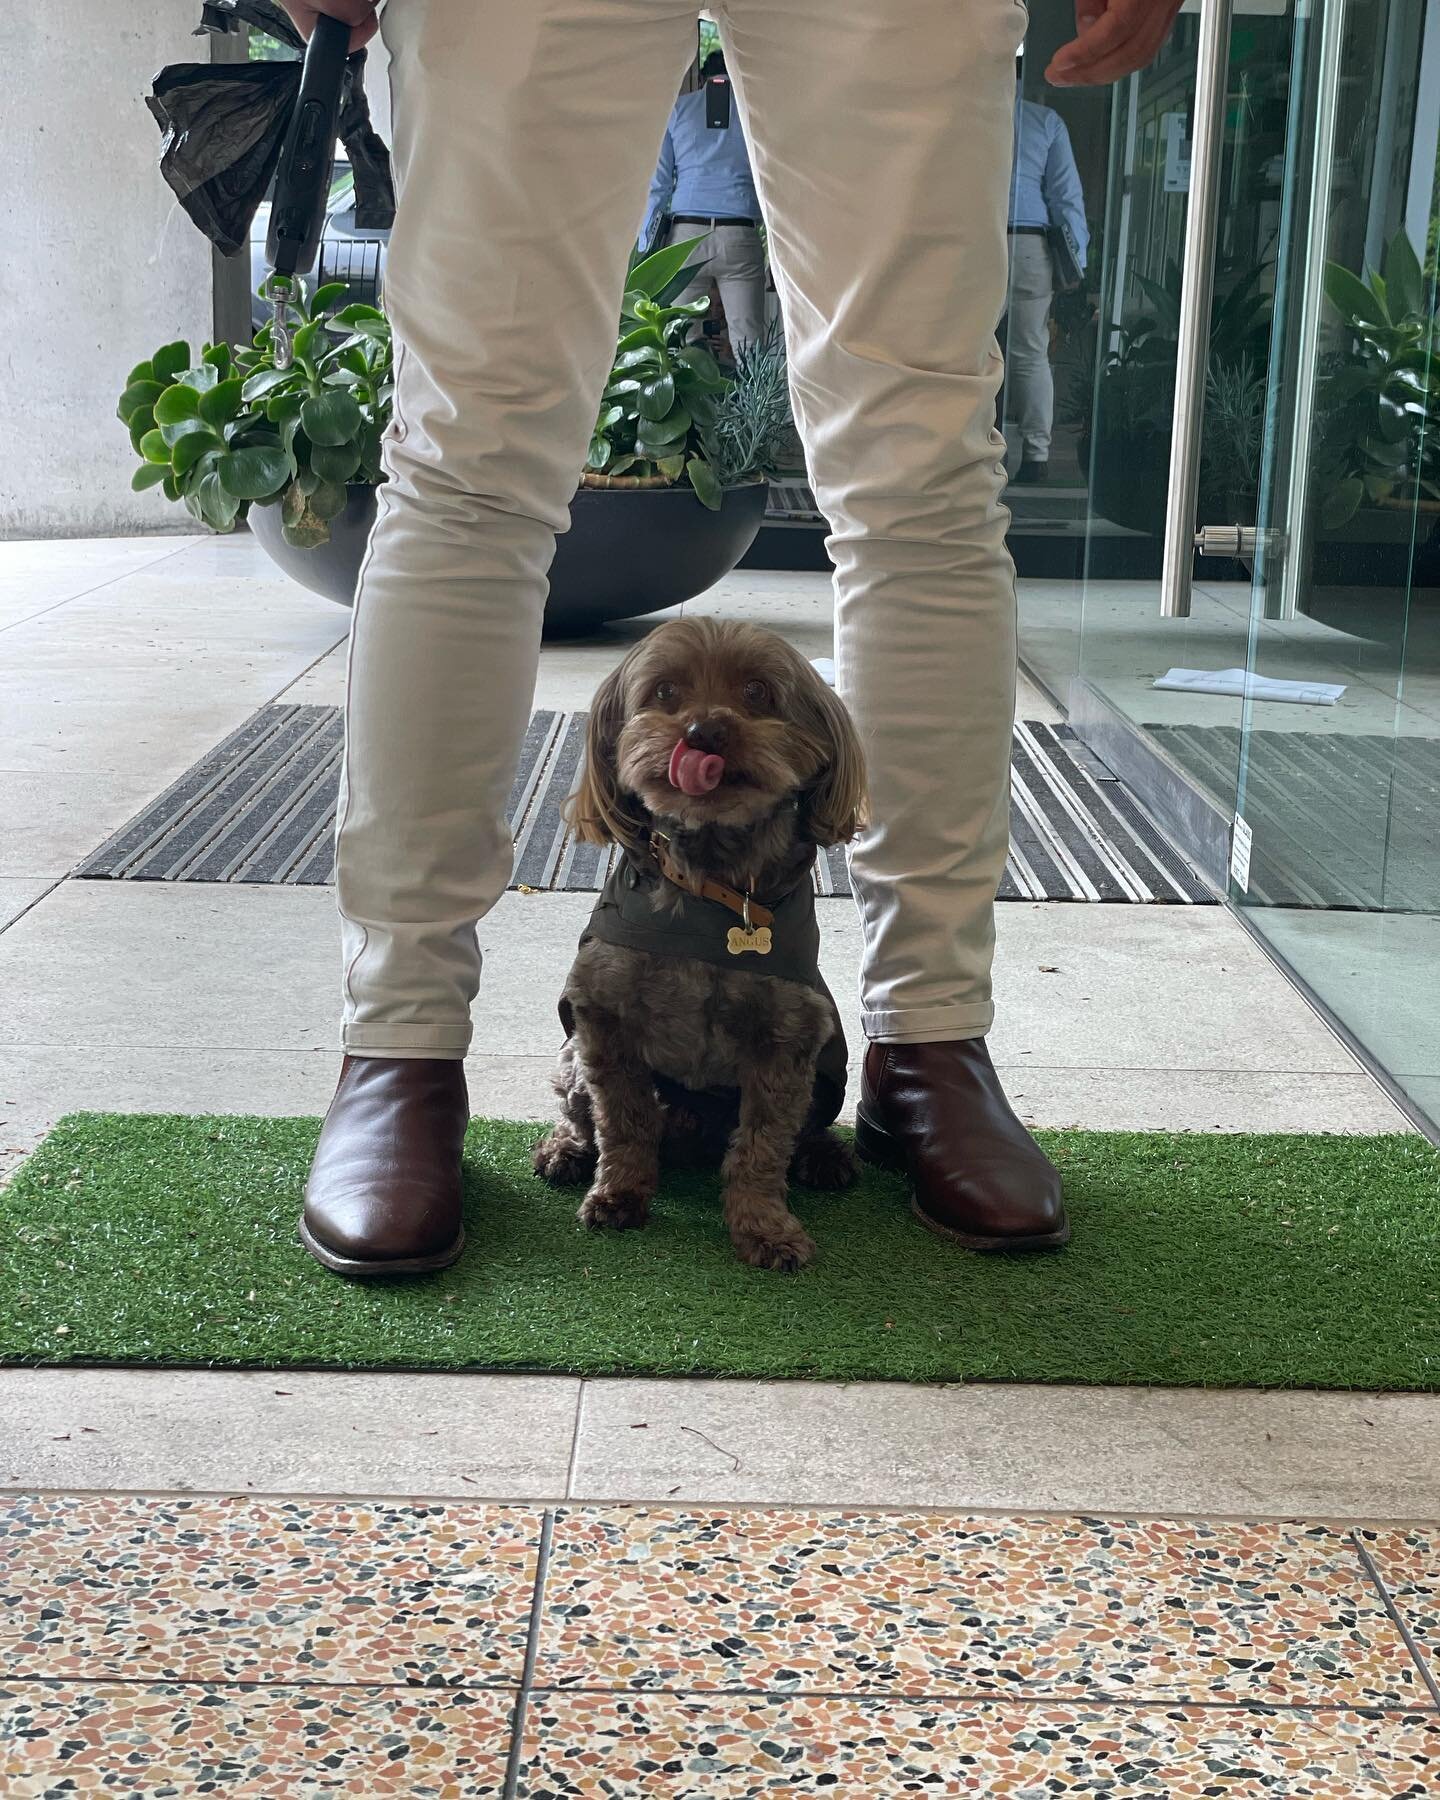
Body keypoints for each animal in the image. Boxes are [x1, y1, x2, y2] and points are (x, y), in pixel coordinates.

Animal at [532, 615, 860, 1267]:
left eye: (757, 691)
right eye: (664, 692)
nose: (703, 732)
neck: (712, 886)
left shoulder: (786, 1042)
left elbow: (762, 1148)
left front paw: (765, 1227)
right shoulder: (603, 1021)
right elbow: (624, 1123)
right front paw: (620, 1196)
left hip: (828, 1076)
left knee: (807, 1129)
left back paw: (824, 1156)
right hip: (571, 1051)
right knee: (579, 1110)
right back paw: (566, 1150)